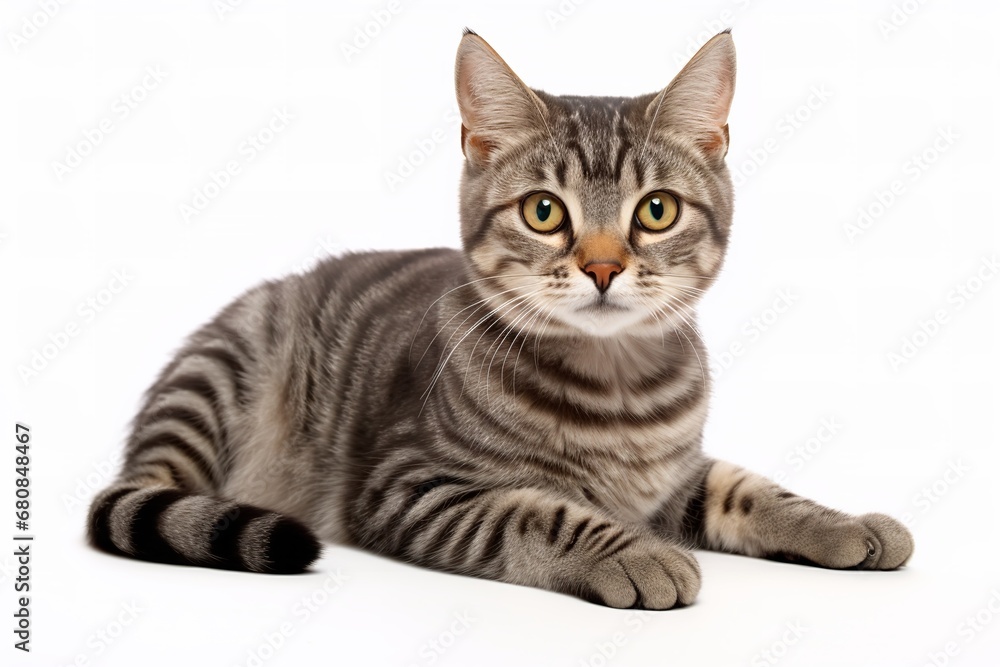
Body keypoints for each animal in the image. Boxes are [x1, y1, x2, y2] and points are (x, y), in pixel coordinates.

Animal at [90, 30, 912, 612]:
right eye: (545, 211)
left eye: (656, 210)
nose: (604, 267)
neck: (618, 388)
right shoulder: (413, 486)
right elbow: (538, 514)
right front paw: (635, 553)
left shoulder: (678, 474)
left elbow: (753, 489)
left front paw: (846, 523)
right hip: (219, 377)